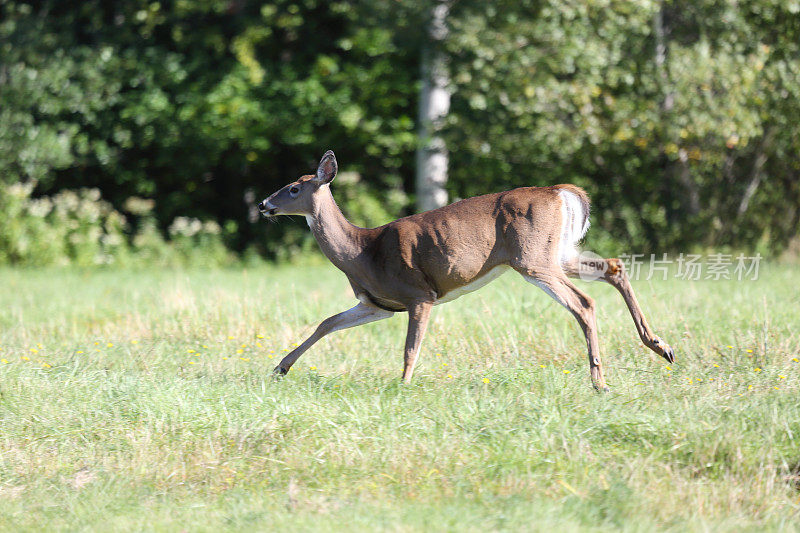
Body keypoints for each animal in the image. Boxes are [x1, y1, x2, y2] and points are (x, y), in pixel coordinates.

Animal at [260, 150, 676, 390]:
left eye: (294, 188)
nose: (264, 204)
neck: (362, 251)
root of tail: (561, 192)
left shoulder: (419, 294)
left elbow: (410, 347)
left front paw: (403, 386)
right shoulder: (377, 304)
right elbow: (326, 323)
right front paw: (280, 368)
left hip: (532, 258)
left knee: (584, 303)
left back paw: (599, 382)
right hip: (558, 254)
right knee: (614, 267)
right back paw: (661, 346)